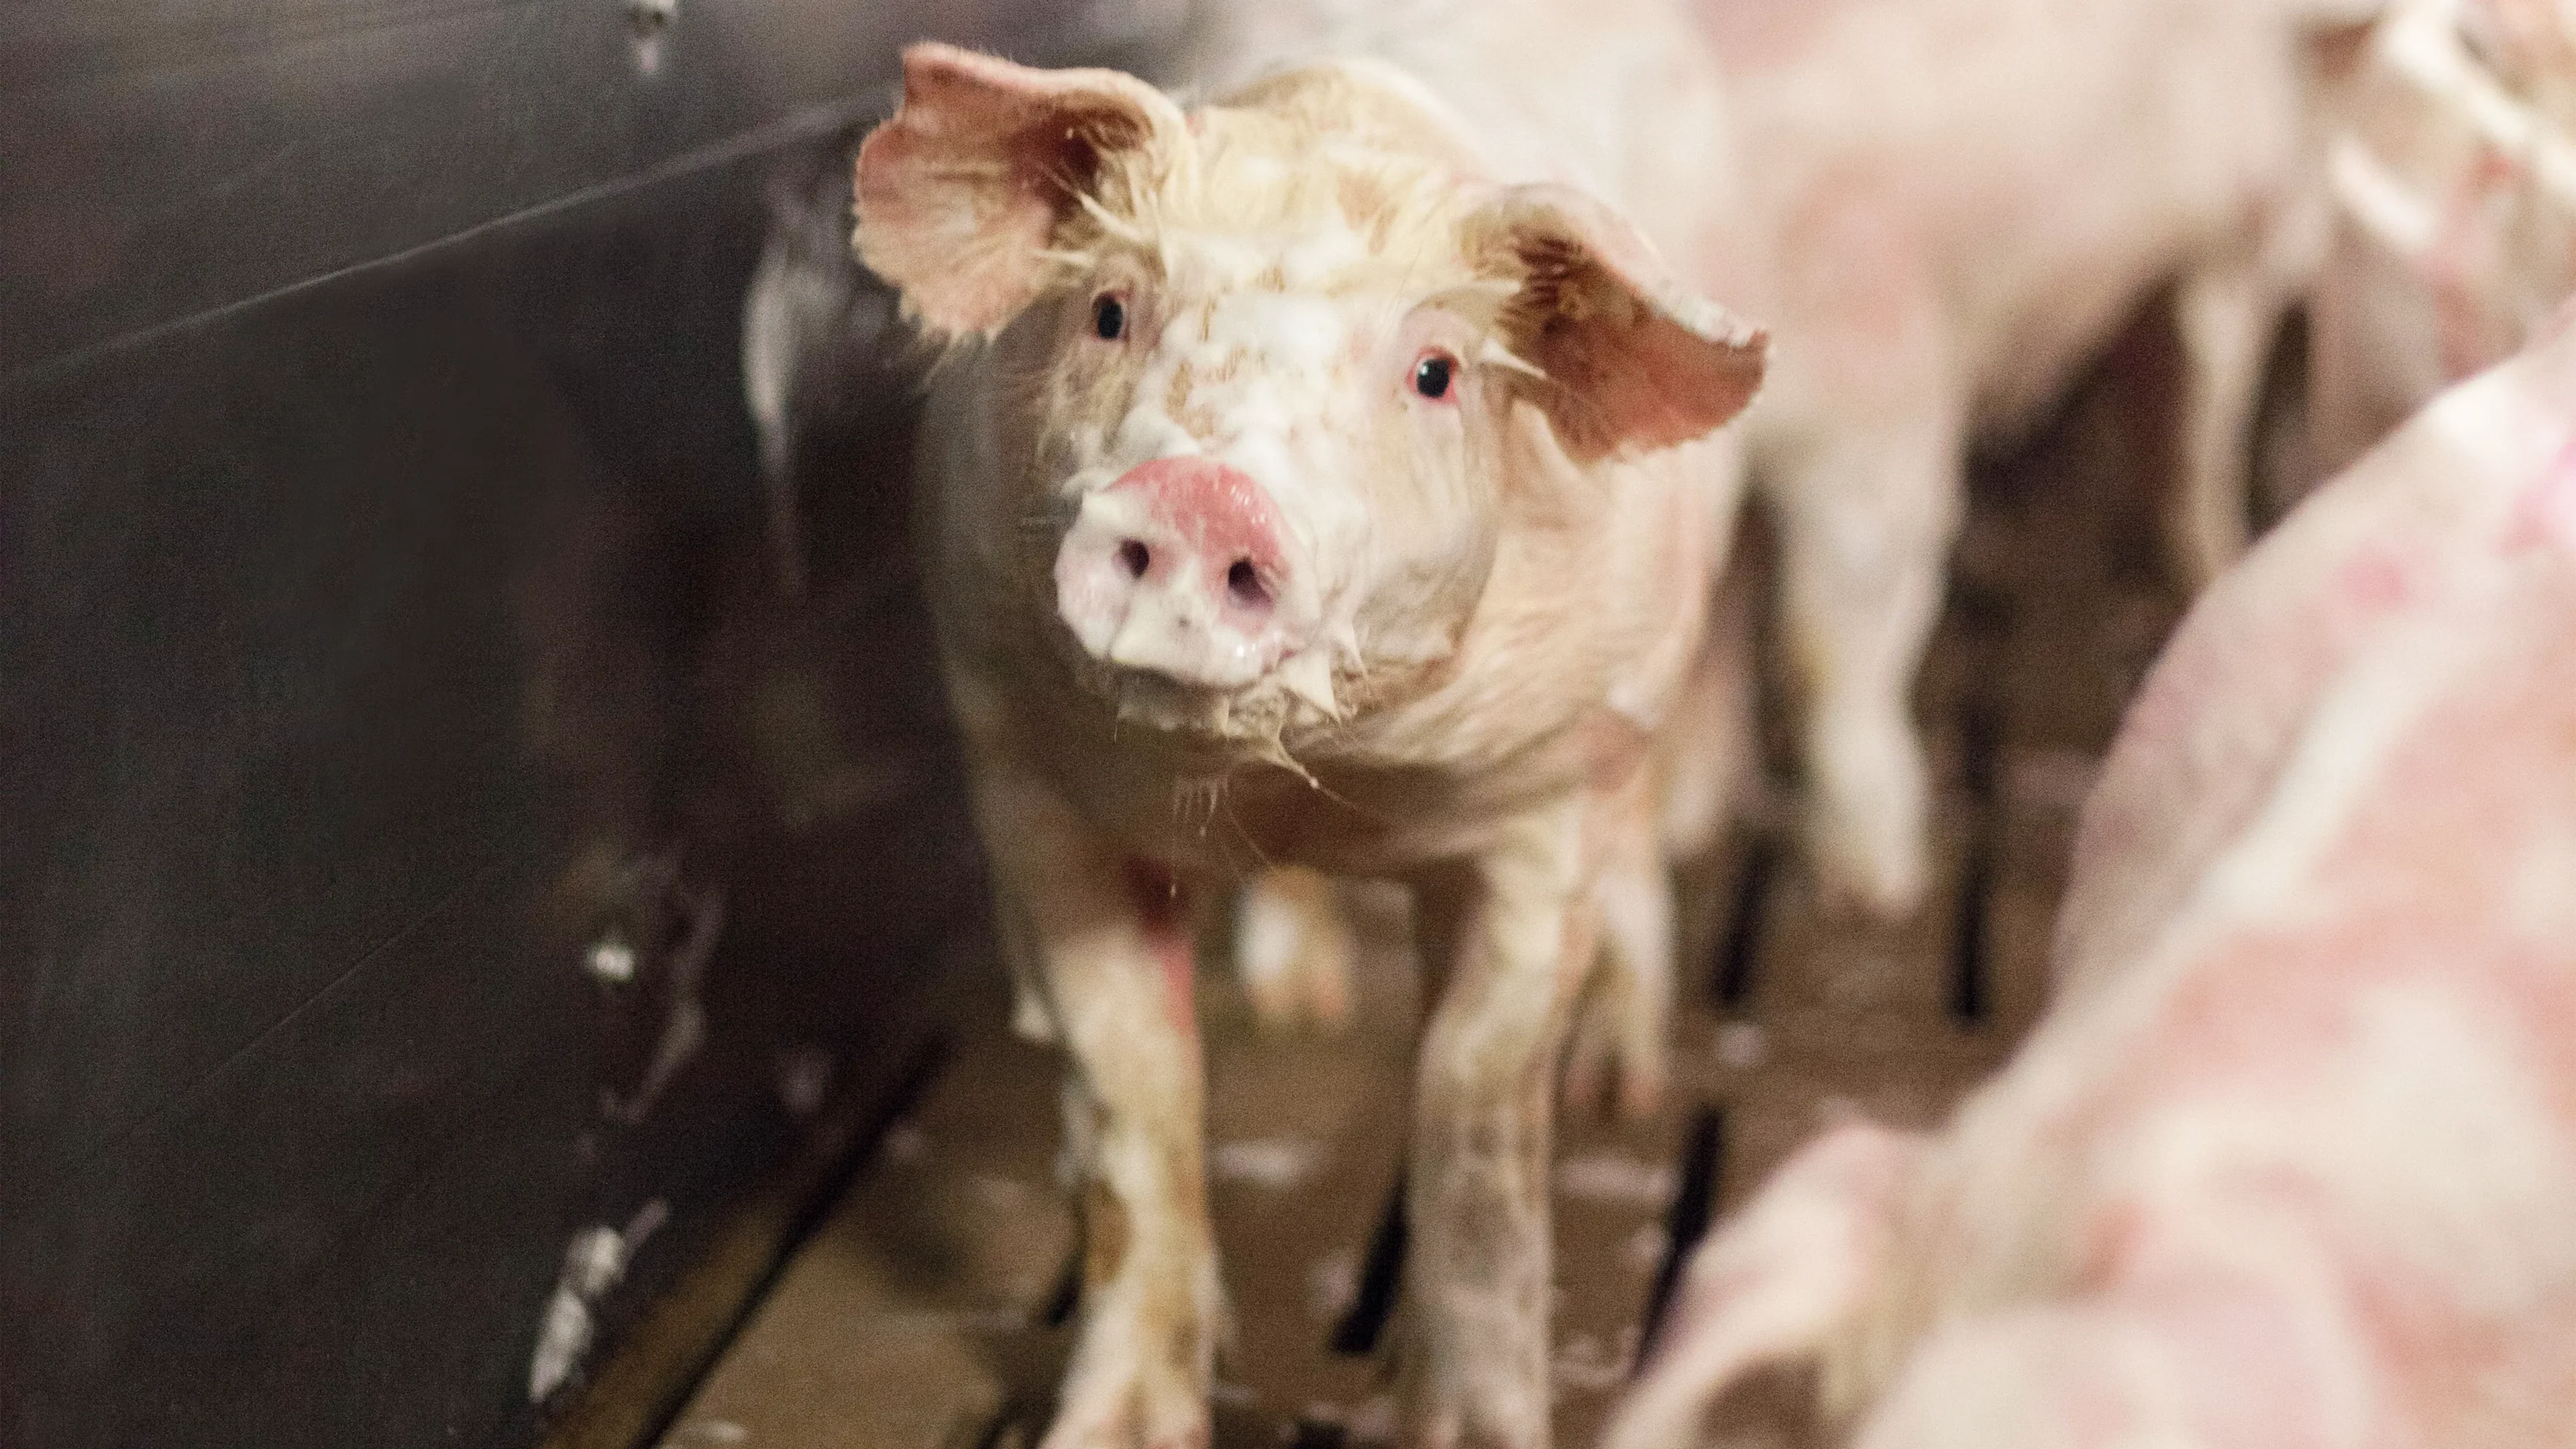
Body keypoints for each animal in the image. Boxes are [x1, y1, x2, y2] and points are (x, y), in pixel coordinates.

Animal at [852, 13, 1764, 1448]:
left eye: (1436, 374)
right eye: (1110, 311)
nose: (1199, 494)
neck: (1313, 783)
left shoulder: (1545, 808)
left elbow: (1475, 1108)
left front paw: (1472, 1426)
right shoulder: (1021, 772)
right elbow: (1134, 1096)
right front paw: (1110, 1428)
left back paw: (1620, 1082)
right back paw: (1301, 1006)